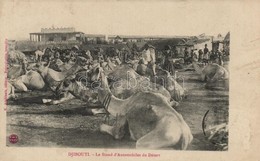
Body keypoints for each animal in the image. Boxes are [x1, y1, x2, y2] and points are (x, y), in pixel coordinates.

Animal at [57, 67, 192, 149]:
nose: (57, 89)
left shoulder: (121, 120)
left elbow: (105, 128)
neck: (121, 104)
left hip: (153, 139)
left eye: (90, 71)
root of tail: (185, 135)